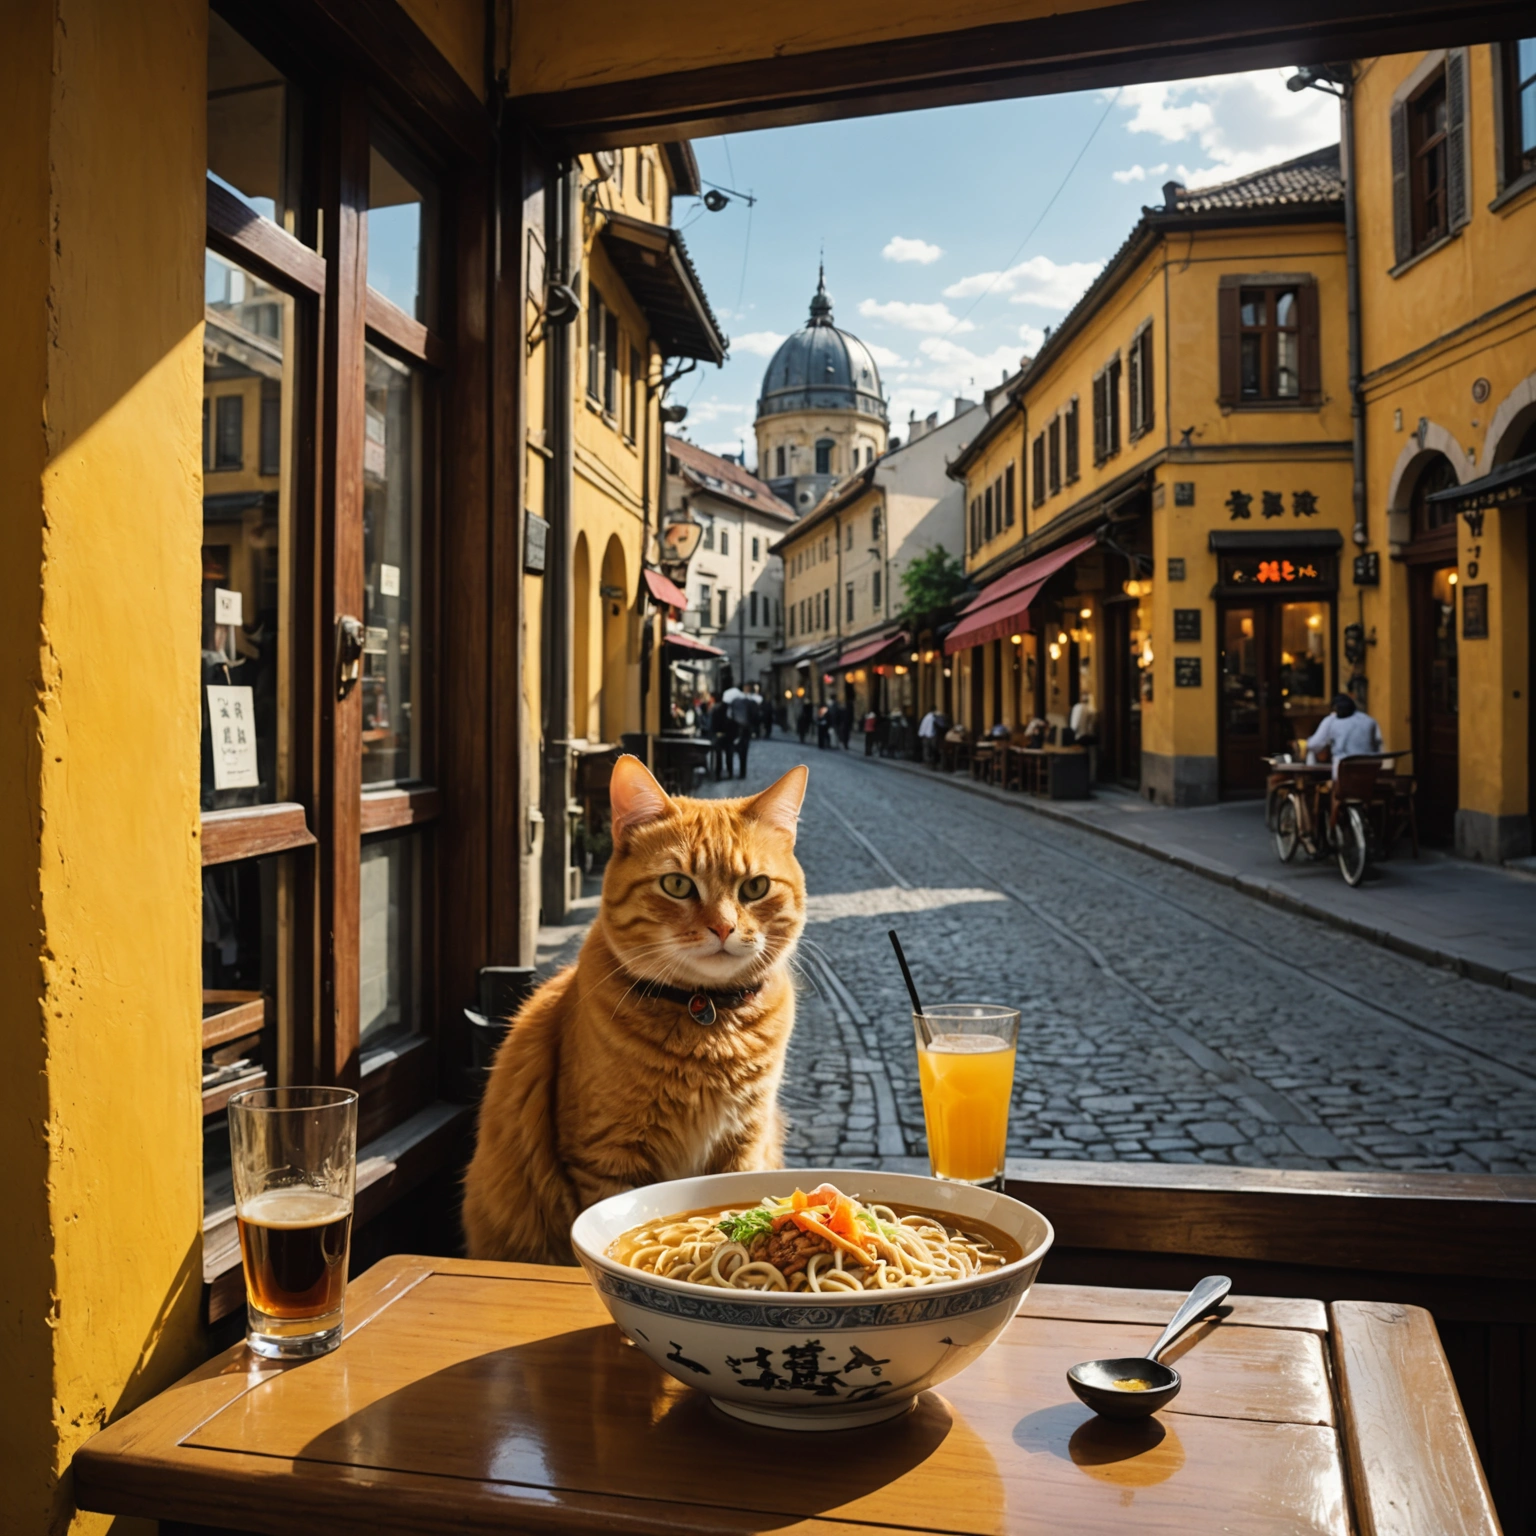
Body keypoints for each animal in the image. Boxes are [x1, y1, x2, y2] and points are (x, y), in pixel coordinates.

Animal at [460, 749, 811, 1265]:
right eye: (677, 885)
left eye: (755, 888)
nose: (724, 927)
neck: (705, 1015)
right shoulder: (606, 1157)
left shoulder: (744, 1143)